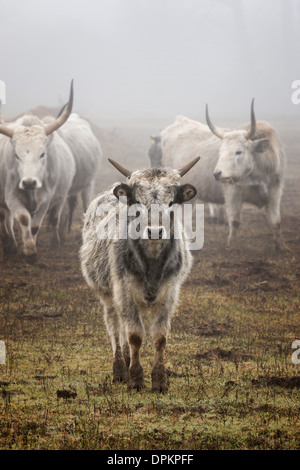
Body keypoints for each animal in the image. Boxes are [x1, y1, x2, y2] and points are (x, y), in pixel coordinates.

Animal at [0, 81, 74, 258]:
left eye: (42, 154)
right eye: (16, 154)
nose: (29, 183)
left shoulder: (46, 199)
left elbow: (34, 226)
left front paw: (32, 250)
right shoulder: (11, 197)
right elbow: (23, 218)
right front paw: (28, 251)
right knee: (6, 220)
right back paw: (9, 245)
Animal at [80, 156, 199, 392]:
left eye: (171, 203)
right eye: (138, 203)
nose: (154, 231)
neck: (151, 262)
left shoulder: (169, 294)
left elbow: (160, 337)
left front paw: (160, 381)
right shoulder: (124, 291)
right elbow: (134, 336)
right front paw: (135, 379)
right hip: (108, 295)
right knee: (115, 327)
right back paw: (120, 369)